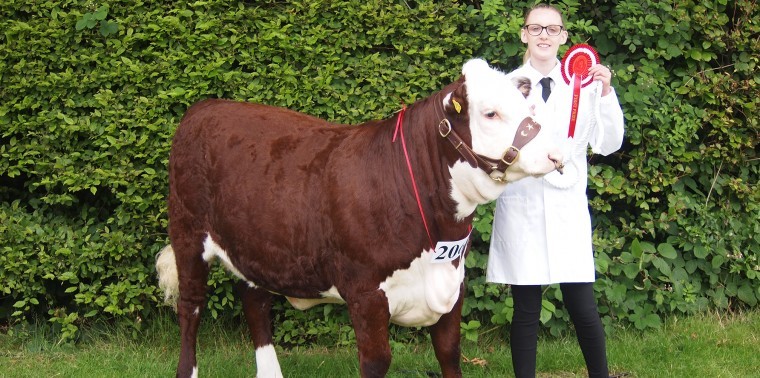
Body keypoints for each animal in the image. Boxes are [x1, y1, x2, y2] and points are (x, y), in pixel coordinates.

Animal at [157, 57, 564, 376]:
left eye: (529, 111)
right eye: (490, 113)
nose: (556, 154)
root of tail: (204, 107)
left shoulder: (454, 284)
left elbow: (450, 354)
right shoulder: (366, 293)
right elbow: (377, 361)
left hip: (256, 243)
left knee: (254, 300)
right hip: (187, 234)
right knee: (190, 308)